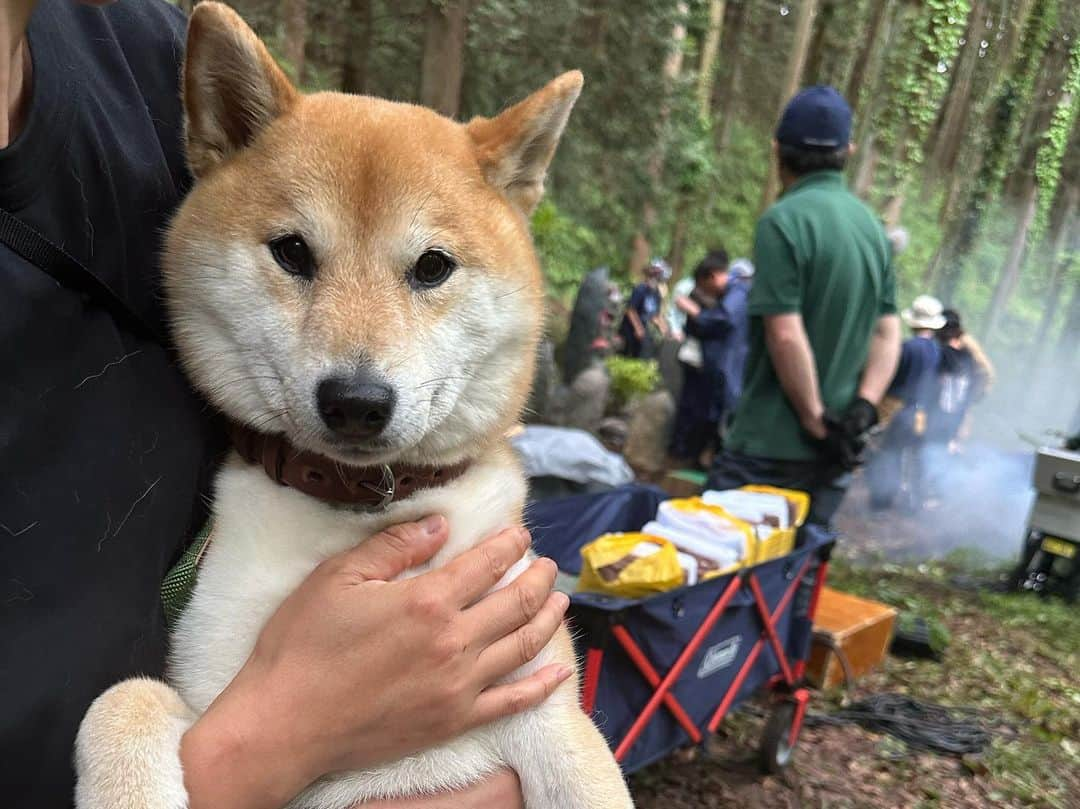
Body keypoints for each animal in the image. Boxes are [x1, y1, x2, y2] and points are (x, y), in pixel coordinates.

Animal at [73, 4, 630, 807]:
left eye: (432, 266)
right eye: (292, 251)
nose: (357, 402)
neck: (359, 515)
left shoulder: (546, 702)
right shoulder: (211, 687)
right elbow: (122, 698)